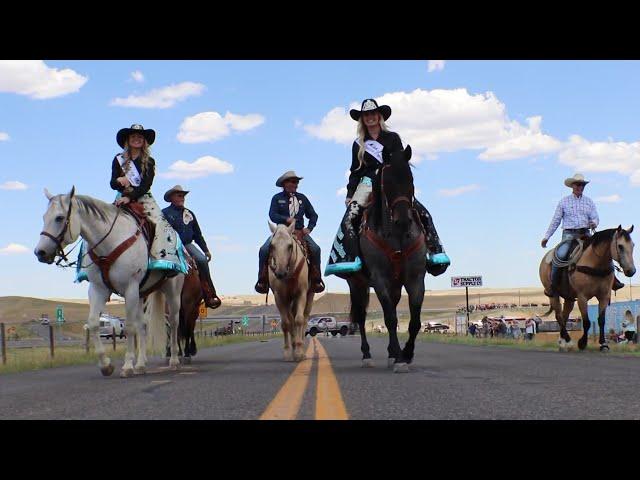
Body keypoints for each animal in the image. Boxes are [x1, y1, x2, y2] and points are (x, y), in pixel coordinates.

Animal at [34, 188, 184, 378]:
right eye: (44, 217)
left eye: (59, 218)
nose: (40, 252)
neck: (110, 242)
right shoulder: (98, 289)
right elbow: (93, 323)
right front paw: (106, 365)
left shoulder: (130, 288)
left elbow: (129, 327)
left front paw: (127, 366)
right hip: (141, 294)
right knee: (143, 325)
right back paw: (141, 364)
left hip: (172, 292)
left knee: (173, 322)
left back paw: (174, 361)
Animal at [266, 221, 314, 360]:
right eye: (272, 245)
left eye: (290, 246)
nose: (280, 272)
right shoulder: (279, 297)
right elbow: (286, 323)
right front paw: (288, 351)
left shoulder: (301, 293)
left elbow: (298, 320)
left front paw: (299, 351)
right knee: (291, 320)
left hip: (310, 296)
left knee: (304, 319)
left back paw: (301, 346)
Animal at [338, 145, 428, 372]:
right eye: (387, 181)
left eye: (410, 179)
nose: (403, 219)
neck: (397, 236)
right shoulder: (379, 279)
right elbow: (390, 318)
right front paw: (399, 359)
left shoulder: (415, 278)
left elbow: (414, 321)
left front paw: (406, 354)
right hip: (357, 285)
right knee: (361, 317)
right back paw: (367, 356)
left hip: (394, 285)